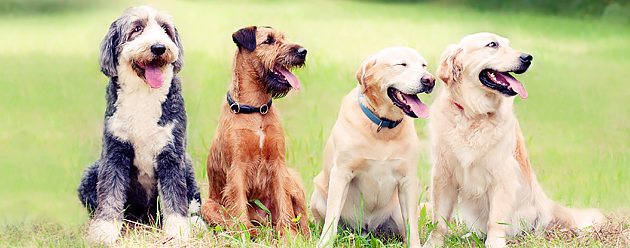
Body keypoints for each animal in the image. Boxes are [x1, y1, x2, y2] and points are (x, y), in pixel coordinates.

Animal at [76, 6, 205, 244]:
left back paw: (196, 223)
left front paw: (178, 232)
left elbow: (175, 197)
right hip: (91, 172)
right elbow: (110, 193)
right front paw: (105, 230)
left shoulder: (171, 153)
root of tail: (146, 215)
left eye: (165, 29)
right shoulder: (114, 153)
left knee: (191, 202)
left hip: (188, 165)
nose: (159, 47)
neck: (143, 94)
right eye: (137, 28)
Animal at [202, 26, 312, 237]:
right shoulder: (237, 166)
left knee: (302, 215)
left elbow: (285, 205)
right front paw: (243, 232)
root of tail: (265, 220)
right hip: (207, 205)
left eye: (283, 38)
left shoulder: (278, 164)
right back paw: (251, 231)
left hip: (292, 180)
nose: (303, 52)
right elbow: (238, 203)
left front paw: (289, 236)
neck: (255, 109)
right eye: (268, 40)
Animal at [312, 47, 434, 248]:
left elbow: (412, 227)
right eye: (402, 64)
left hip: (398, 213)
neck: (383, 125)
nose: (430, 80)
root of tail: (365, 230)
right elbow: (332, 219)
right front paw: (324, 243)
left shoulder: (408, 179)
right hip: (318, 198)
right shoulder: (341, 173)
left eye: (424, 65)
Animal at [424, 33, 608, 248]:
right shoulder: (442, 174)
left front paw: (495, 242)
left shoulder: (502, 175)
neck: (473, 115)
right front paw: (433, 242)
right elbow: (439, 220)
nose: (528, 58)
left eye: (509, 45)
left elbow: (496, 220)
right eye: (492, 44)